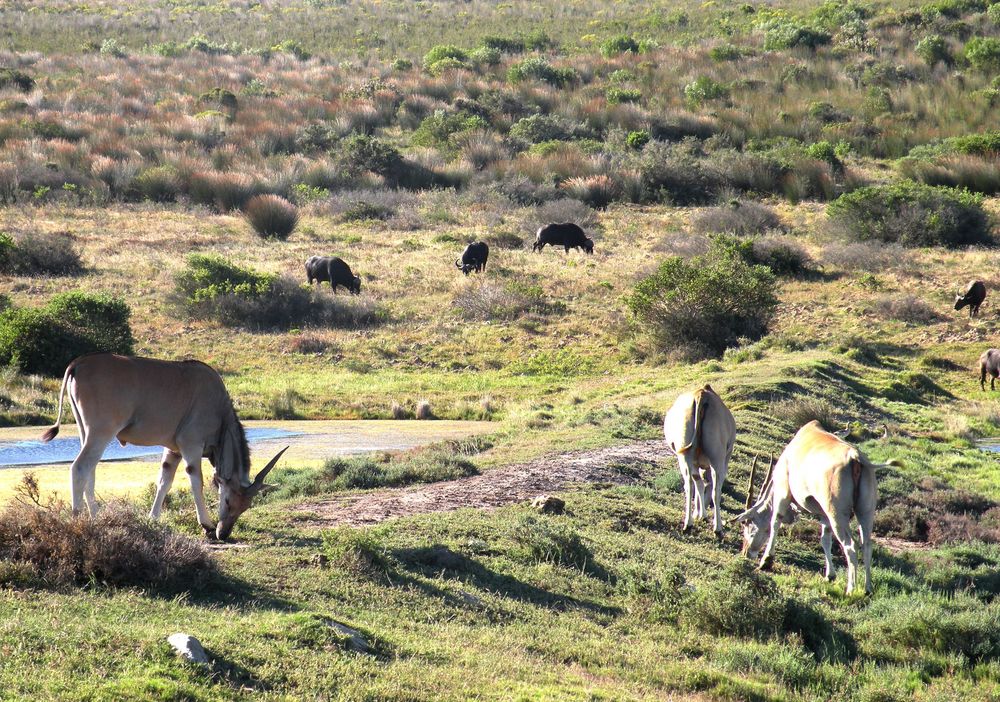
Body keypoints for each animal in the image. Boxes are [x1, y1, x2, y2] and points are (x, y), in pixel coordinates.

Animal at [41, 354, 288, 540]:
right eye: (227, 501)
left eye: (246, 507)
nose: (223, 533)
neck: (219, 409)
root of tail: (79, 363)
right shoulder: (191, 445)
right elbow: (195, 481)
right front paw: (206, 525)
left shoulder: (173, 450)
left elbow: (164, 481)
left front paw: (153, 518)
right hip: (101, 432)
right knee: (80, 467)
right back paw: (78, 519)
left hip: (86, 432)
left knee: (89, 471)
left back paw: (96, 517)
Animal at [664, 384, 736, 540]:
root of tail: (701, 395)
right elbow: (705, 485)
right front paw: (702, 515)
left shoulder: (695, 463)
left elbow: (699, 483)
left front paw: (699, 514)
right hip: (717, 459)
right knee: (715, 490)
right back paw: (717, 529)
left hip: (685, 457)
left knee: (689, 485)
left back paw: (688, 525)